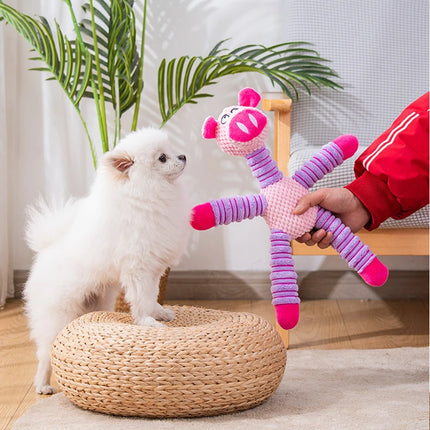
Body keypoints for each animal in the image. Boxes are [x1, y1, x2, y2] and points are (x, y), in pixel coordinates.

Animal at [23, 127, 190, 394]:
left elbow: (152, 295)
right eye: (162, 158)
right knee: (45, 352)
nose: (183, 156)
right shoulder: (138, 268)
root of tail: (46, 249)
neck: (147, 194)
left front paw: (159, 313)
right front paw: (148, 322)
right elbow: (141, 299)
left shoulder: (153, 269)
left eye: (172, 151)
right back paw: (42, 384)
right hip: (57, 313)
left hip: (93, 301)